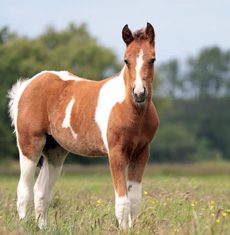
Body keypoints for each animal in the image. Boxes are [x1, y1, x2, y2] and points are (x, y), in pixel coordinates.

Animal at [7, 22, 158, 229]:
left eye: (152, 59)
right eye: (126, 60)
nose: (139, 93)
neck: (132, 110)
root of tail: (27, 84)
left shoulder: (142, 153)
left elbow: (134, 200)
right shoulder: (116, 153)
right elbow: (122, 202)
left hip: (55, 151)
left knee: (41, 192)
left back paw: (43, 228)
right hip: (30, 145)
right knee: (24, 191)